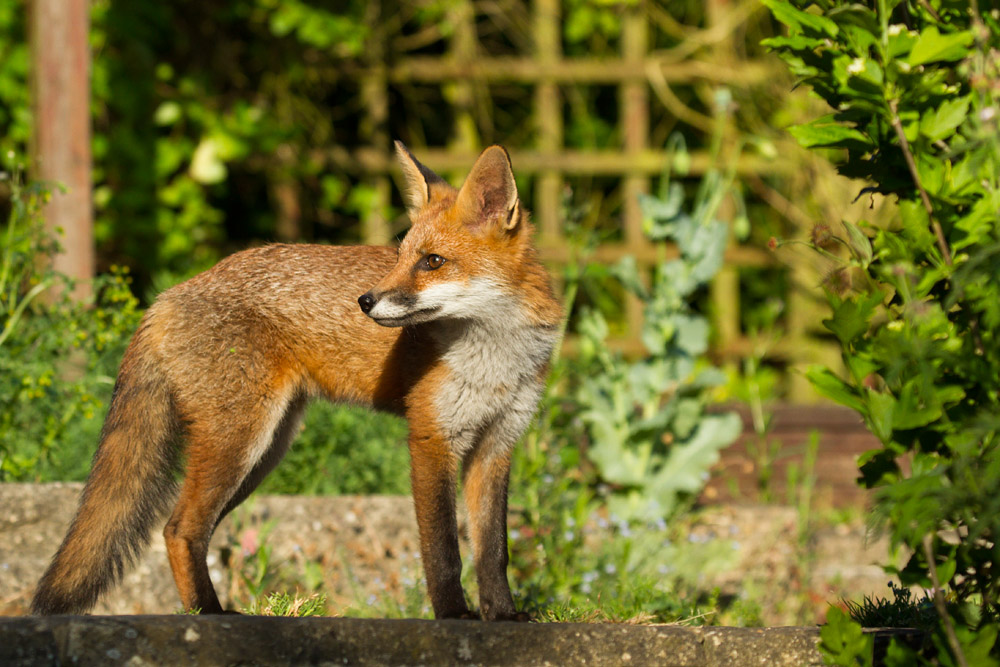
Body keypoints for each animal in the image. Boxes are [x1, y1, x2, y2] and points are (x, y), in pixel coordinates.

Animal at [30, 142, 562, 621]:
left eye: (432, 261)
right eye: (400, 256)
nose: (365, 301)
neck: (495, 358)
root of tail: (167, 295)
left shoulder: (496, 443)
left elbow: (493, 552)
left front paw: (504, 617)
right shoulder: (432, 437)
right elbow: (444, 550)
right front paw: (455, 617)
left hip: (264, 452)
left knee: (190, 530)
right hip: (240, 441)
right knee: (178, 529)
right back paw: (211, 616)